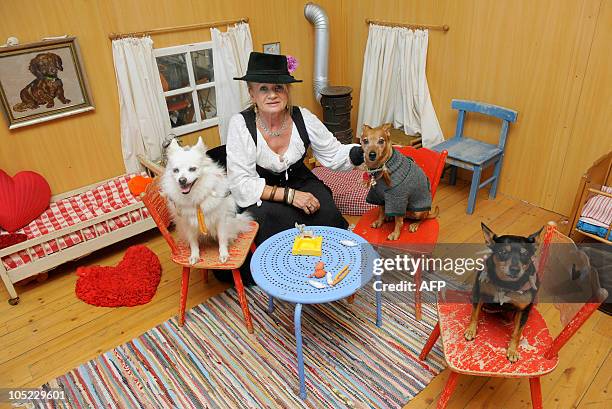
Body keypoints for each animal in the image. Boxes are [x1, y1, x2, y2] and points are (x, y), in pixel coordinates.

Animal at [466, 225, 544, 362]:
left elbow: (517, 333)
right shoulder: (479, 293)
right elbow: (474, 314)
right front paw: (471, 330)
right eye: (503, 252)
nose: (515, 269)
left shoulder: (524, 309)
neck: (506, 284)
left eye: (525, 254)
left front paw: (512, 350)